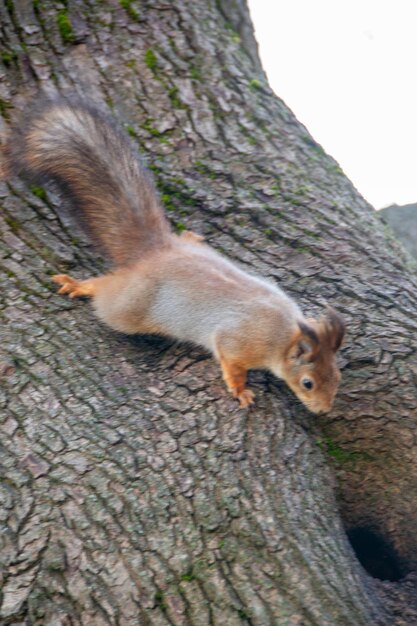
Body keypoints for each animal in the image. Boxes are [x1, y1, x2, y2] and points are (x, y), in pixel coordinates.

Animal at [2, 96, 344, 410]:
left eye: (338, 378)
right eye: (308, 382)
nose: (324, 410)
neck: (284, 335)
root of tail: (155, 251)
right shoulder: (238, 341)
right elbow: (231, 364)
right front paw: (240, 390)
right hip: (128, 306)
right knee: (107, 295)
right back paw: (83, 286)